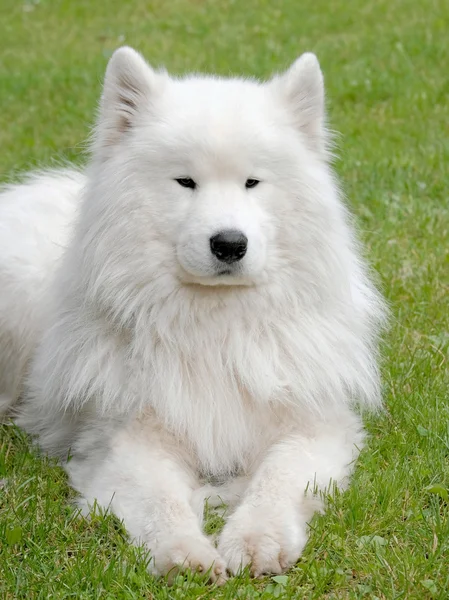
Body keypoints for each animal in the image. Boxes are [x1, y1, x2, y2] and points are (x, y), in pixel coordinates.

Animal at [0, 47, 384, 580]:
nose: (229, 244)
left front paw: (256, 540)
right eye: (186, 181)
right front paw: (185, 555)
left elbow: (277, 478)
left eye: (252, 182)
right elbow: (162, 500)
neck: (213, 326)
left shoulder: (313, 427)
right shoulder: (128, 438)